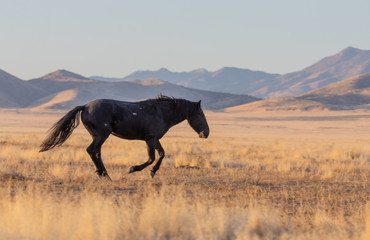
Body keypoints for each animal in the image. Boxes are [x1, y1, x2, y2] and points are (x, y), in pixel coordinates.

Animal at [39, 95, 211, 180]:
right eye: (201, 115)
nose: (206, 133)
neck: (160, 112)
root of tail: (85, 107)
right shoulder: (151, 139)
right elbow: (155, 157)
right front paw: (138, 170)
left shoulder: (152, 139)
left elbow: (157, 155)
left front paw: (147, 171)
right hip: (101, 135)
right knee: (92, 151)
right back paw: (104, 175)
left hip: (98, 136)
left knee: (96, 152)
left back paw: (104, 174)